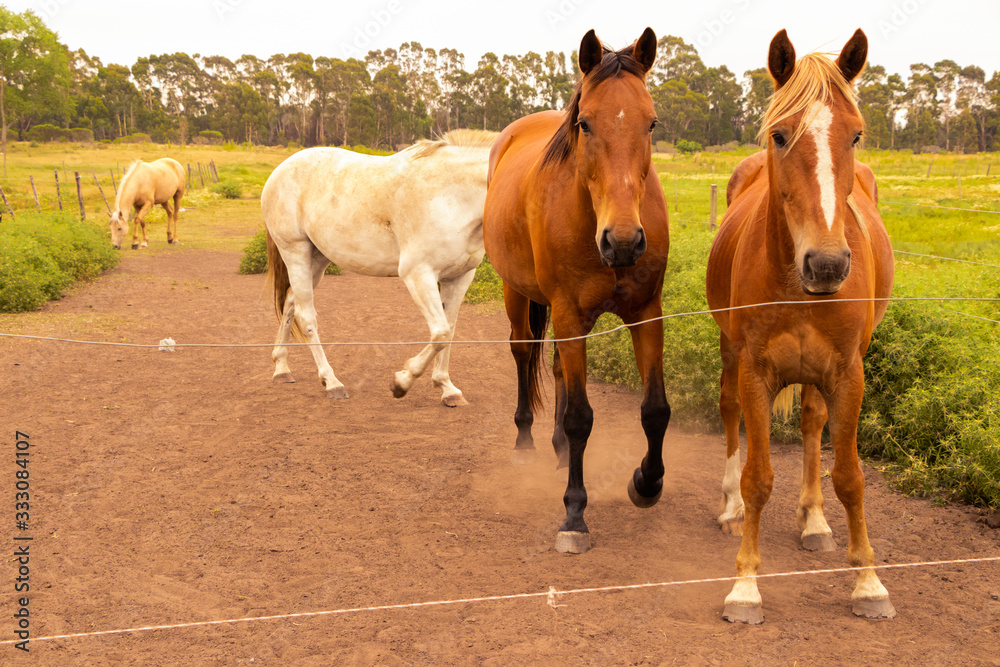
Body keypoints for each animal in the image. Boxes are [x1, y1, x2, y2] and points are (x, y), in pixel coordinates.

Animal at [261, 130, 496, 407]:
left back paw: (281, 369)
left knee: (289, 303)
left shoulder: (459, 278)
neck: (452, 196)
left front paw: (447, 388)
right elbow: (439, 333)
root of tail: (279, 170)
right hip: (295, 253)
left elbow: (448, 332)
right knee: (305, 316)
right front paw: (401, 383)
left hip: (317, 259)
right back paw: (332, 383)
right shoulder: (418, 274)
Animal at [483, 28, 670, 554]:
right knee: (524, 353)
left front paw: (646, 482)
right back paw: (526, 440)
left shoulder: (646, 313)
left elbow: (655, 410)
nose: (623, 241)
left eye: (651, 123)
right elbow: (581, 418)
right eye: (585, 124)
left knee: (556, 370)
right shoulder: (566, 314)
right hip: (518, 294)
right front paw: (574, 514)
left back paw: (560, 450)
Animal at [706, 29, 895, 623]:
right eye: (780, 135)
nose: (828, 264)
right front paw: (745, 586)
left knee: (813, 424)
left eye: (855, 135)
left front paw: (868, 582)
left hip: (819, 372)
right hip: (729, 352)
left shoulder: (848, 373)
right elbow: (758, 477)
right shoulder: (754, 371)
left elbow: (850, 477)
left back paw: (813, 520)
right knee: (729, 416)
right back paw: (730, 508)